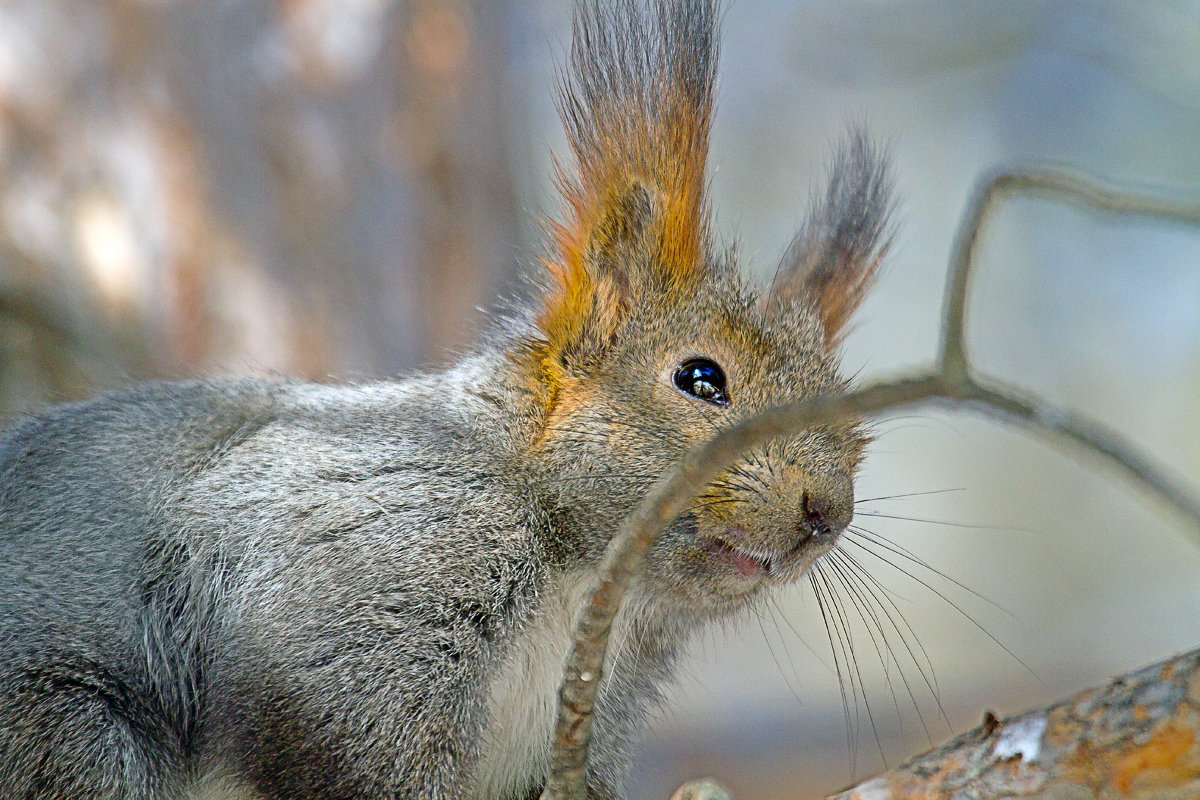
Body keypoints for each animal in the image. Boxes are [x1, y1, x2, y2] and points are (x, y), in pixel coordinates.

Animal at [0, 1, 892, 800]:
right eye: (702, 379)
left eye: (858, 440)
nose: (825, 512)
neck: (585, 578)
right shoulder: (357, 578)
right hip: (66, 736)